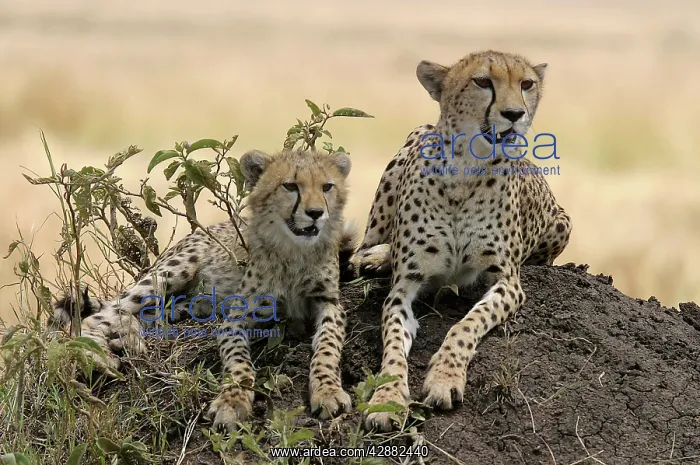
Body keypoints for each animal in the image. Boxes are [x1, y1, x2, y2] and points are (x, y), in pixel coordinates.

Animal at [51, 148, 358, 432]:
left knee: (148, 313)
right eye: (291, 186)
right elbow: (238, 361)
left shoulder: (329, 304)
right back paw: (99, 355)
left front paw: (328, 390)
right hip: (172, 271)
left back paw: (134, 335)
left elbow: (328, 346)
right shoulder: (237, 316)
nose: (316, 213)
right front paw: (232, 402)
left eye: (327, 187)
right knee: (104, 313)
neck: (295, 251)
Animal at [345, 50, 572, 431]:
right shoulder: (403, 288)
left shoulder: (507, 281)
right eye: (482, 81)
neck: (466, 169)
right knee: (367, 244)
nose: (515, 114)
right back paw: (373, 257)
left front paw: (444, 378)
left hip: (562, 223)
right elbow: (392, 347)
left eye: (526, 84)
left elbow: (466, 324)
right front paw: (387, 400)